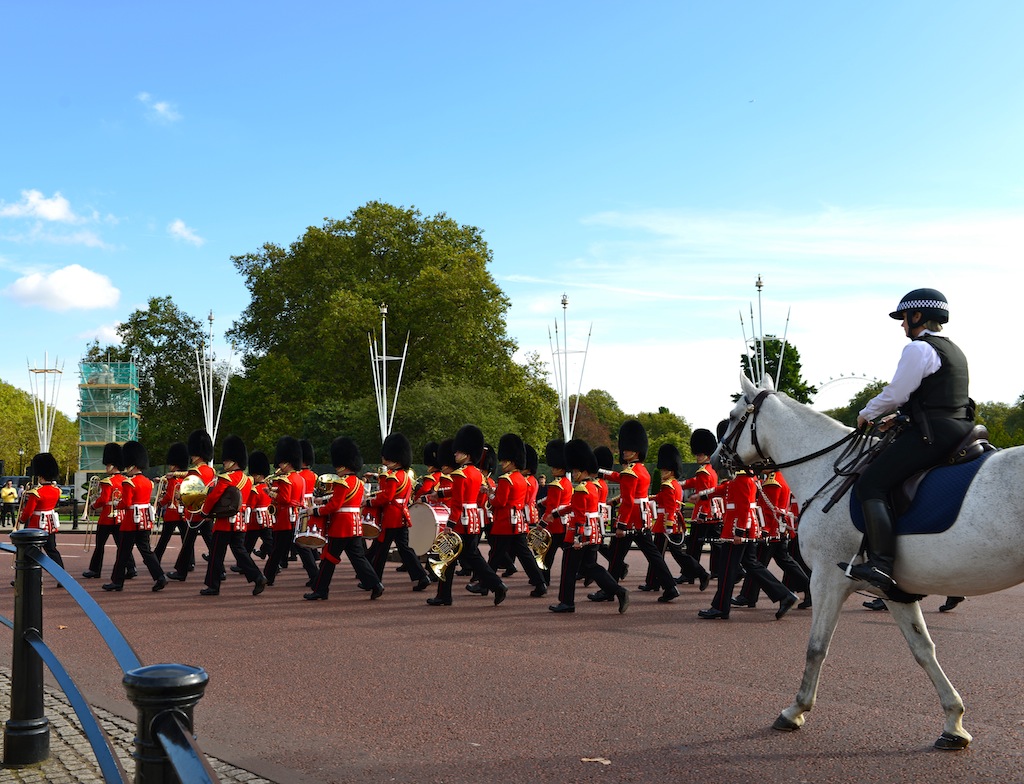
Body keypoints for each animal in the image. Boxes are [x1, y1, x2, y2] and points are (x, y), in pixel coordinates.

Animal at [712, 376, 1024, 753]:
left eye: (733, 416)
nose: (715, 460)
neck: (825, 470)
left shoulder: (827, 579)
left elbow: (816, 647)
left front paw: (795, 710)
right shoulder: (895, 591)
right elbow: (923, 650)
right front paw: (954, 722)